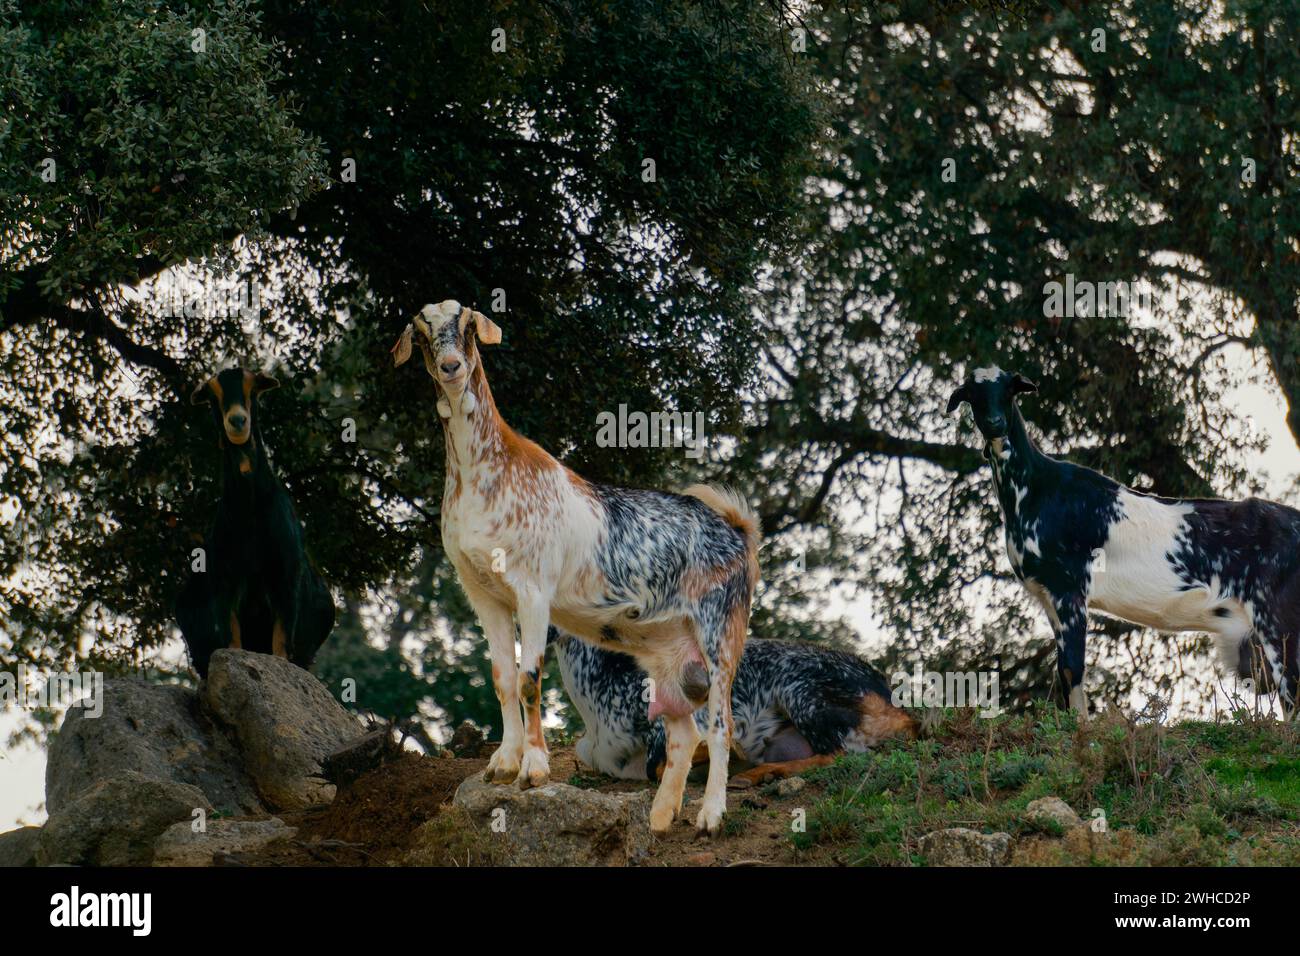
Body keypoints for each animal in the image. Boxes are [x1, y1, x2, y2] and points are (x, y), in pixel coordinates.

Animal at [175, 369, 338, 681]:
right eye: (212, 395)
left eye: (253, 388)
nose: (238, 421)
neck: (251, 512)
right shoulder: (225, 580)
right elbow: (232, 644)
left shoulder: (286, 576)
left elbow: (281, 648)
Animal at [392, 303, 759, 832]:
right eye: (421, 333)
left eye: (467, 327)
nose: (450, 367)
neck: (486, 472)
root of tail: (739, 531)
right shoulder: (483, 592)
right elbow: (502, 677)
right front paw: (503, 763)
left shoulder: (533, 589)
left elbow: (528, 678)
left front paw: (534, 768)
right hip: (665, 651)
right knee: (684, 732)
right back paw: (659, 818)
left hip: (721, 631)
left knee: (721, 724)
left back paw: (710, 815)